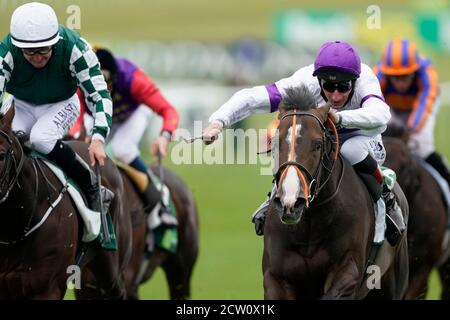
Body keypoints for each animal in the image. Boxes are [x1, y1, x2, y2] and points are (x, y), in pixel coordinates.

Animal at [262, 85, 410, 300]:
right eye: (275, 143)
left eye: (317, 144)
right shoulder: (276, 277)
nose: (291, 203)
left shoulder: (348, 271)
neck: (309, 226)